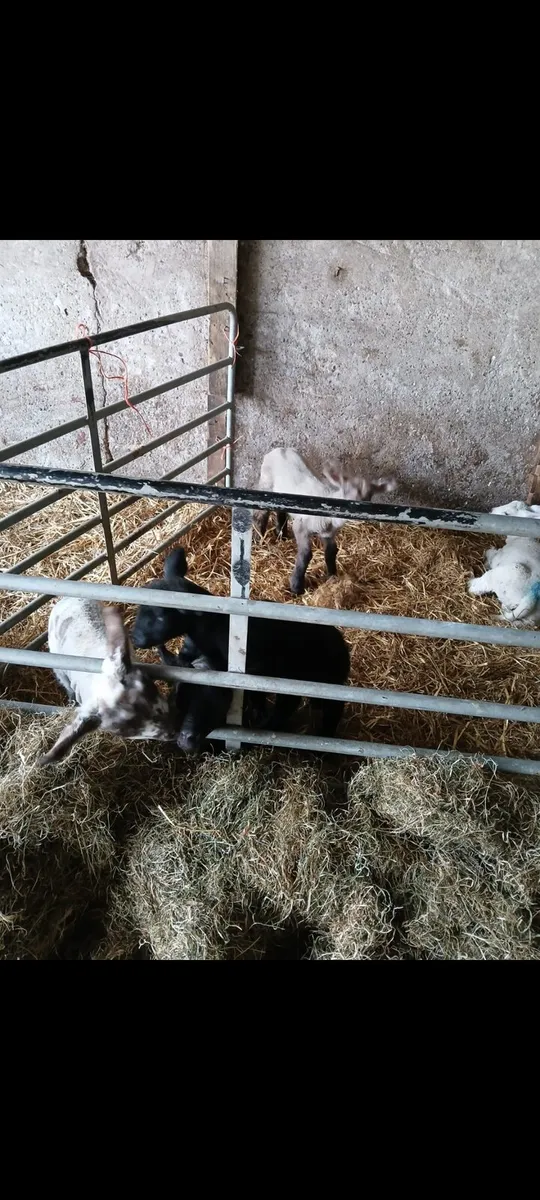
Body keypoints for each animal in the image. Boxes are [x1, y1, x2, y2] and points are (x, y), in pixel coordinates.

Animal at [132, 546, 351, 737]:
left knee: (328, 707)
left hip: (327, 679)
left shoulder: (254, 667)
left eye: (161, 616)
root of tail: (341, 644)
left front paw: (256, 713)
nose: (135, 639)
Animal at [256, 447, 396, 594]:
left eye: (370, 495)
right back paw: (260, 538)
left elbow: (331, 552)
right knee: (262, 513)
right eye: (346, 490)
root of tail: (280, 449)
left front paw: (332, 577)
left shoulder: (329, 533)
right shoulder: (301, 526)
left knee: (281, 510)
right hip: (266, 483)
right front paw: (296, 586)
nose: (361, 509)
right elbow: (305, 554)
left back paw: (281, 535)